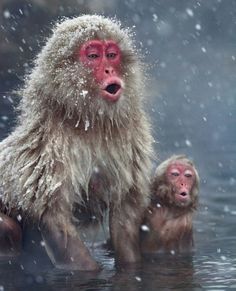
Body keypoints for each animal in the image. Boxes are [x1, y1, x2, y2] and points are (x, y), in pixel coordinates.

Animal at [0, 15, 153, 272]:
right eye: (93, 56)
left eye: (111, 54)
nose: (109, 69)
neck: (91, 122)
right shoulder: (48, 144)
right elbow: (55, 218)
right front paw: (93, 272)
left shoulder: (132, 137)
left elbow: (125, 211)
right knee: (8, 228)